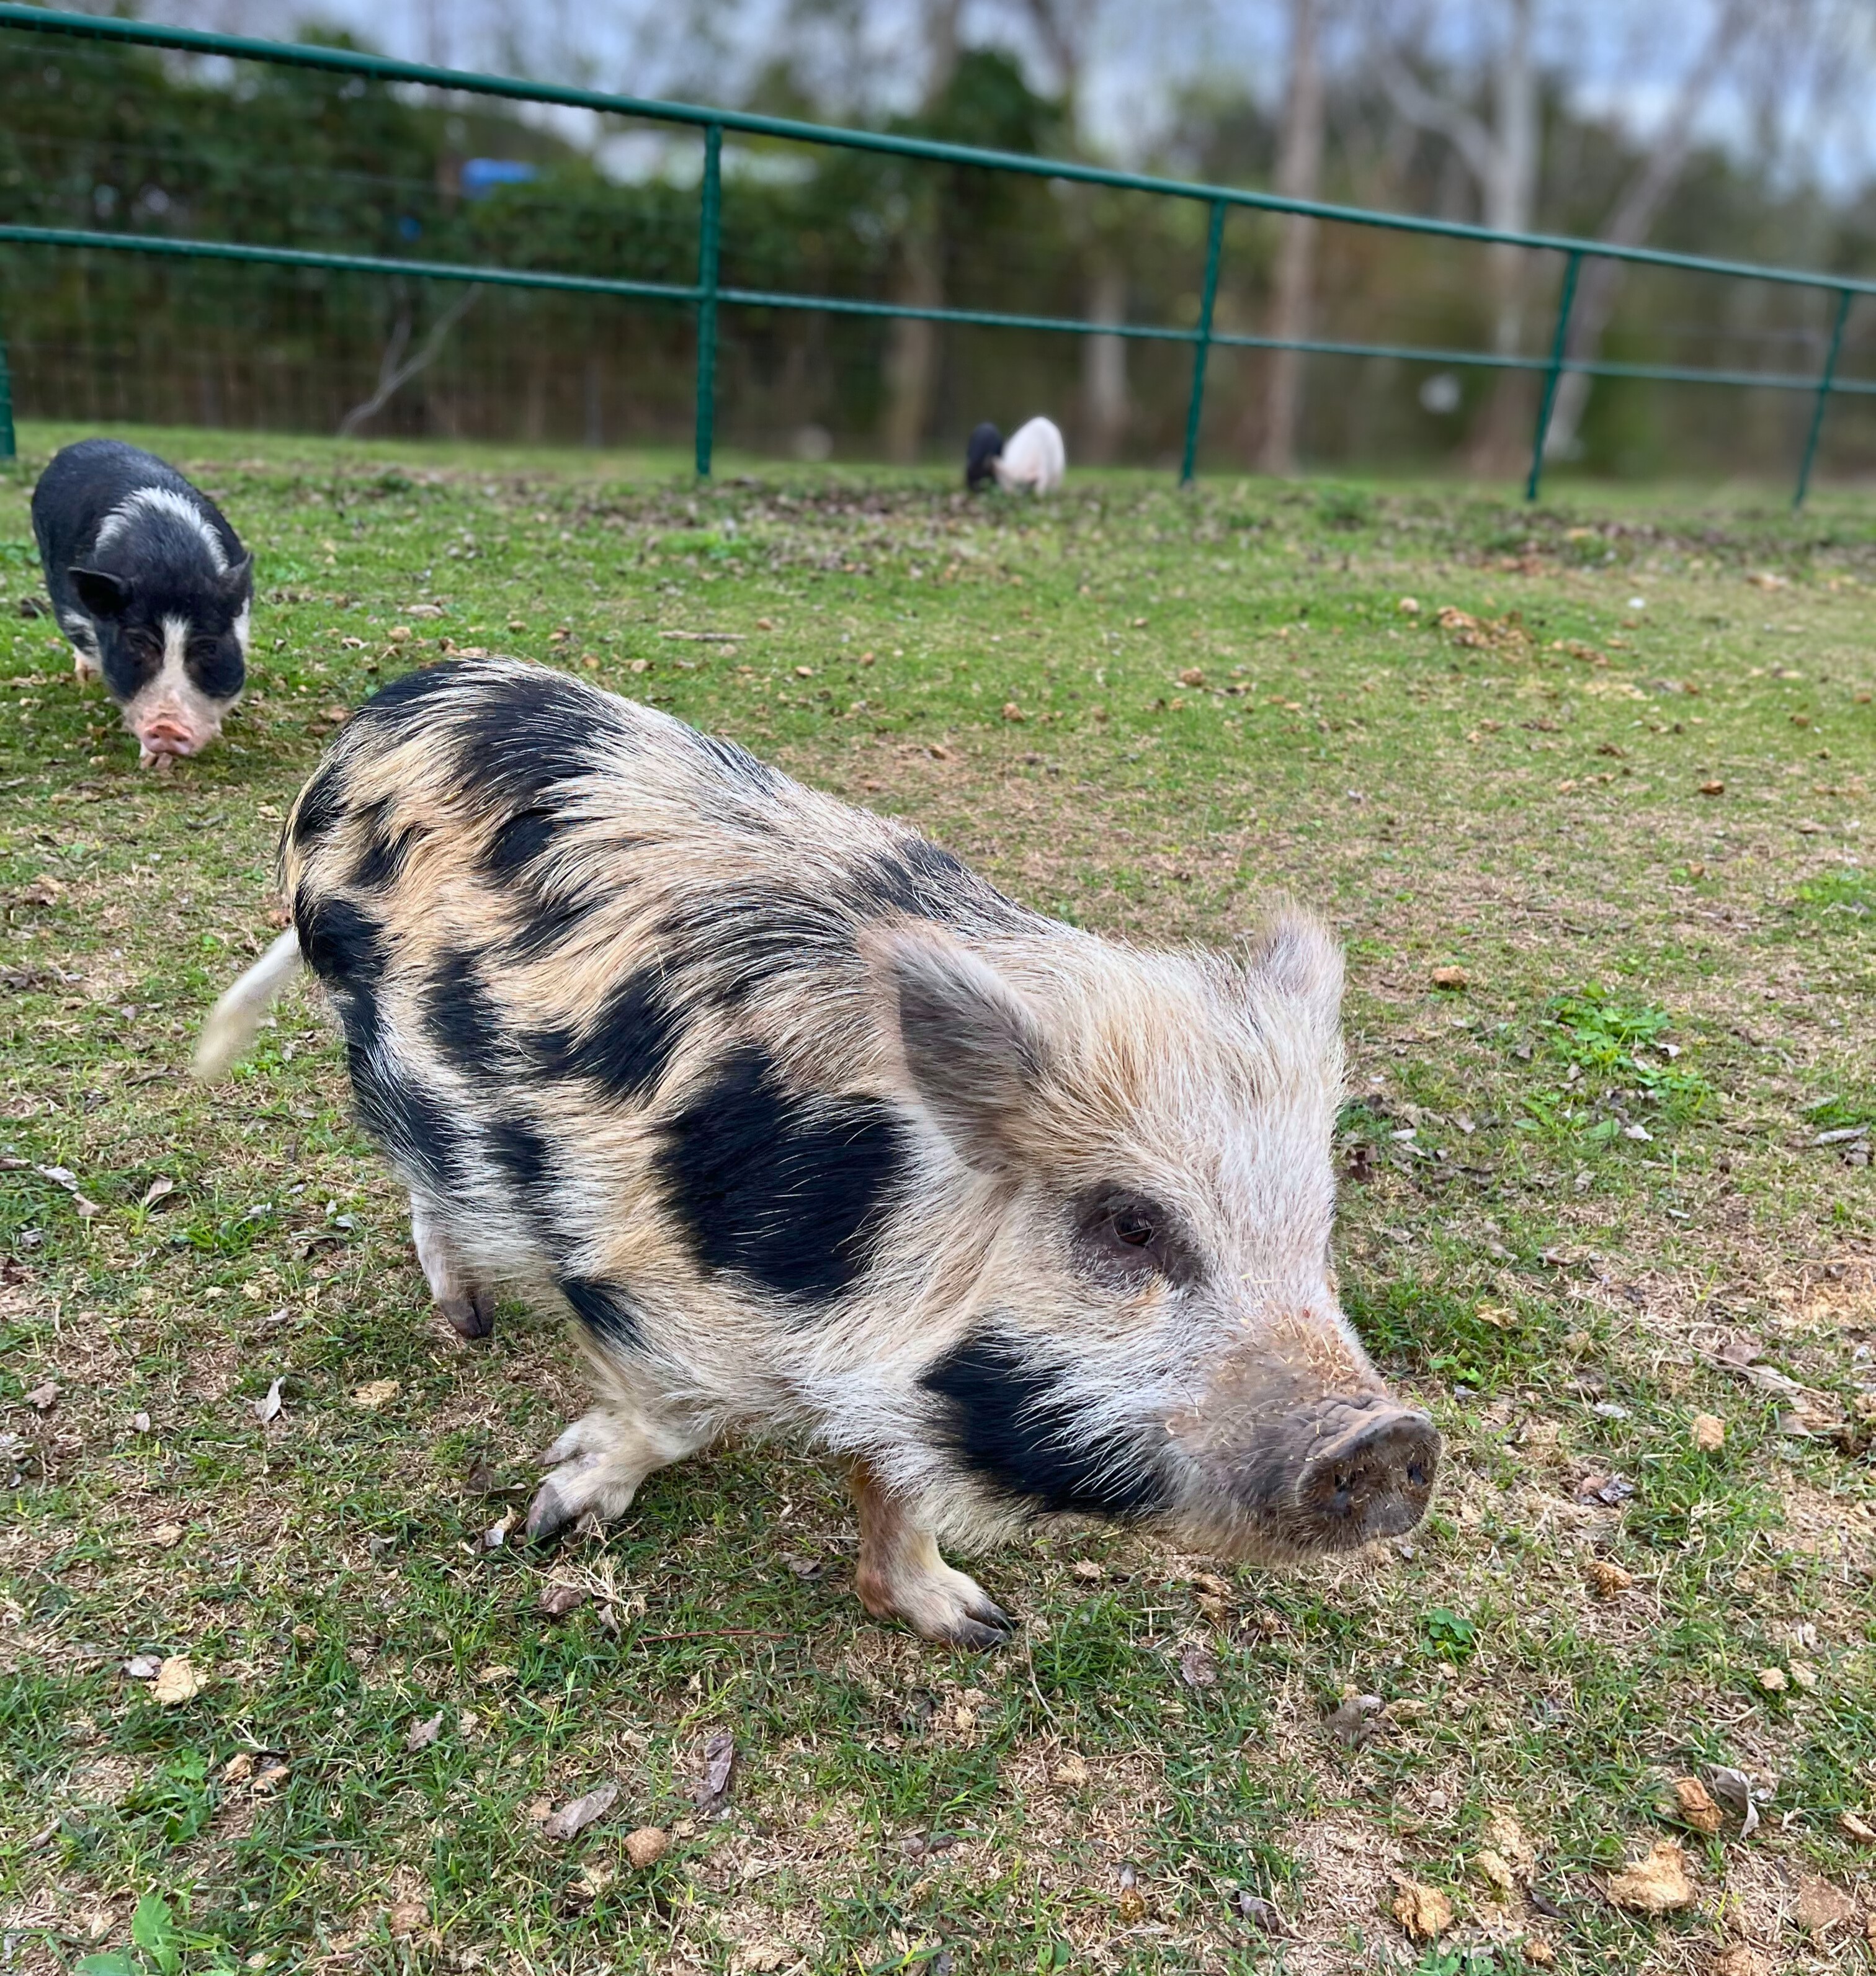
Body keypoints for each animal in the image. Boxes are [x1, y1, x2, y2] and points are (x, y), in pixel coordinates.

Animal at [31, 439, 253, 766]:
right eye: (137, 642)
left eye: (209, 647)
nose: (167, 728)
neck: (170, 562)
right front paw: (150, 763)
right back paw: (85, 678)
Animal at [193, 658, 1438, 1643]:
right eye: (1130, 1224)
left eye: (1315, 1229)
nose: (1390, 1437)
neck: (861, 1225)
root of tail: (387, 710)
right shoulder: (617, 1249)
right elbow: (673, 1414)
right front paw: (554, 1509)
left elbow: (893, 1484)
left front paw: (978, 1624)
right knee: (420, 1175)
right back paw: (467, 1321)